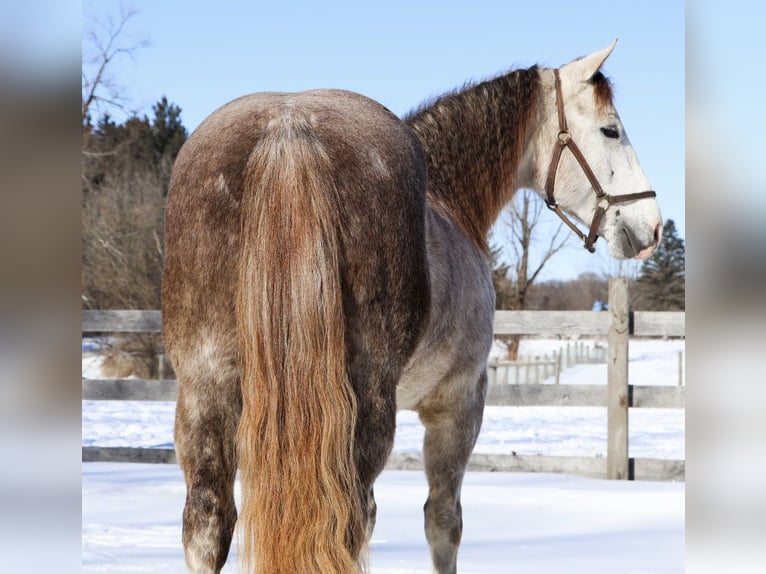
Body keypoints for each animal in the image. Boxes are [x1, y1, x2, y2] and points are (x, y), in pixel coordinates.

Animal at [162, 41, 662, 574]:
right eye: (610, 130)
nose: (651, 226)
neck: (449, 198)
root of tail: (288, 126)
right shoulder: (459, 402)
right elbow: (443, 522)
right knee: (350, 525)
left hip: (205, 390)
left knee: (208, 524)